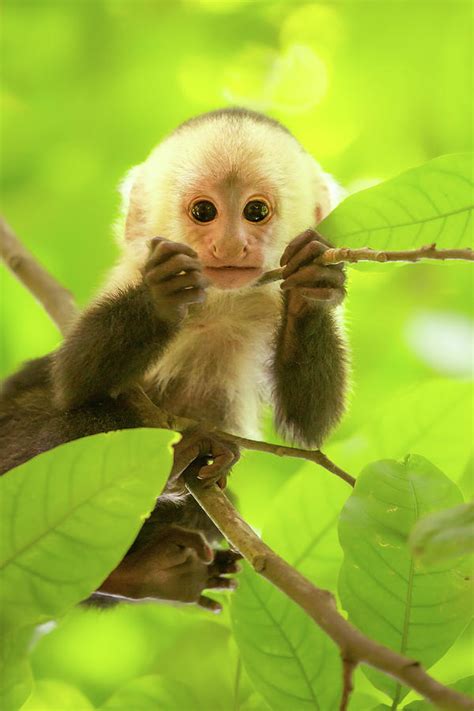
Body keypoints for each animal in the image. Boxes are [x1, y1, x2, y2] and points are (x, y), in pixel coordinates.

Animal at [0, 108, 348, 616]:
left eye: (255, 211)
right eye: (204, 212)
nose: (230, 246)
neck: (219, 303)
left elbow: (308, 425)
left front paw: (312, 286)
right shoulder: (132, 269)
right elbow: (72, 379)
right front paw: (164, 296)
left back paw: (147, 573)